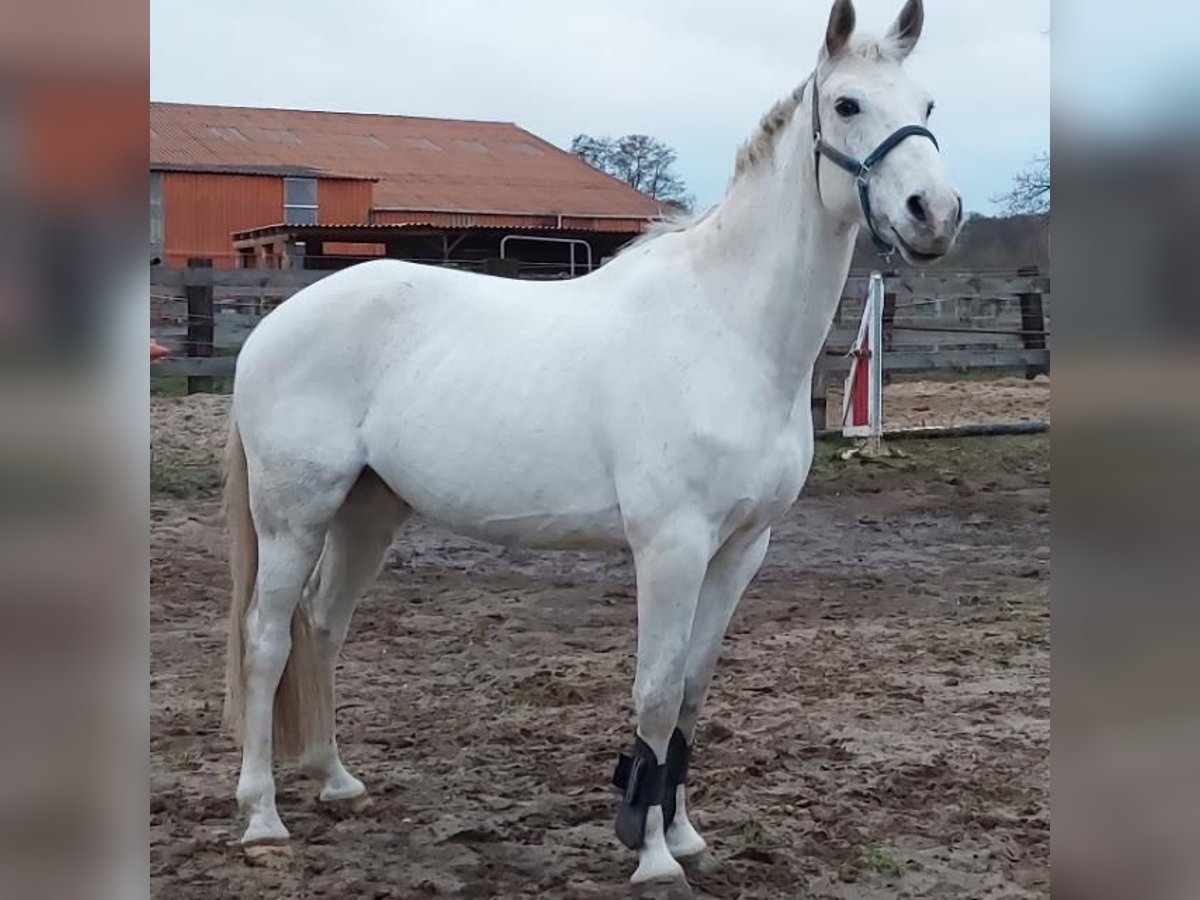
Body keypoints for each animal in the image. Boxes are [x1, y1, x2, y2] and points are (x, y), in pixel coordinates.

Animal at [220, 0, 960, 888]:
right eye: (847, 104)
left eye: (926, 105)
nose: (935, 214)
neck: (726, 329)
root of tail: (273, 325)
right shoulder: (671, 547)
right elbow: (656, 691)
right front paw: (653, 858)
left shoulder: (741, 548)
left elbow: (694, 690)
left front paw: (683, 834)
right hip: (293, 515)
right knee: (267, 642)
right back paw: (262, 820)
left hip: (370, 509)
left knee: (324, 627)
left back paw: (337, 781)